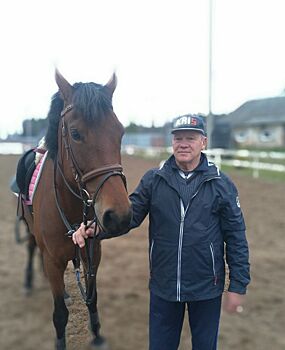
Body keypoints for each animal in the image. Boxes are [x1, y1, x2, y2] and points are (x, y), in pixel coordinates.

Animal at [21, 69, 132, 348]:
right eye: (75, 133)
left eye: (120, 132)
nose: (119, 216)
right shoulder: (52, 260)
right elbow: (60, 314)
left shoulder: (92, 252)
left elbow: (92, 298)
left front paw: (98, 336)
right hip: (29, 228)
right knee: (31, 248)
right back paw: (29, 282)